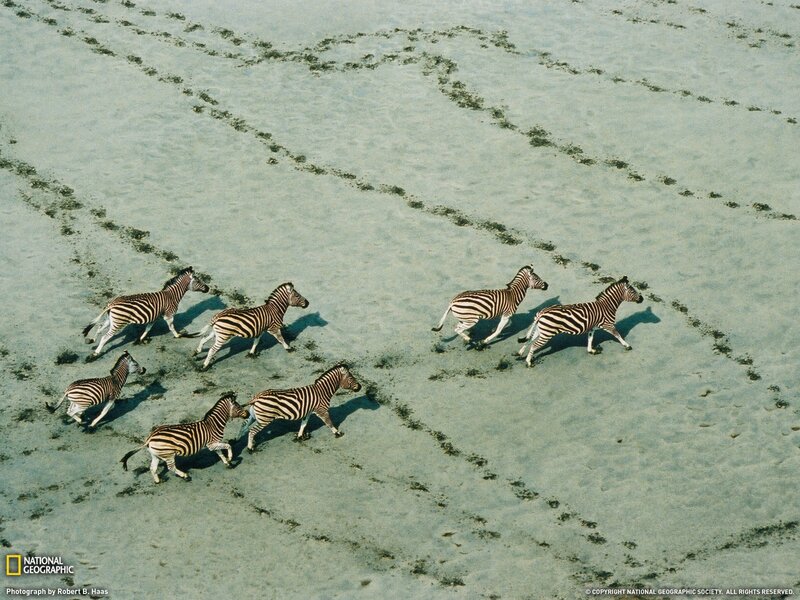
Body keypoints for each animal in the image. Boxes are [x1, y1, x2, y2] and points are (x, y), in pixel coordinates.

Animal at [120, 392, 249, 484]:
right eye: (238, 406)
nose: (247, 413)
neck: (213, 424)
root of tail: (150, 437)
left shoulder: (214, 444)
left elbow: (220, 453)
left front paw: (227, 463)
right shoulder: (212, 443)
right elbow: (228, 445)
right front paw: (231, 458)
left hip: (156, 454)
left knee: (153, 468)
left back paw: (158, 481)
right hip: (168, 454)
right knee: (171, 467)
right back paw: (185, 476)